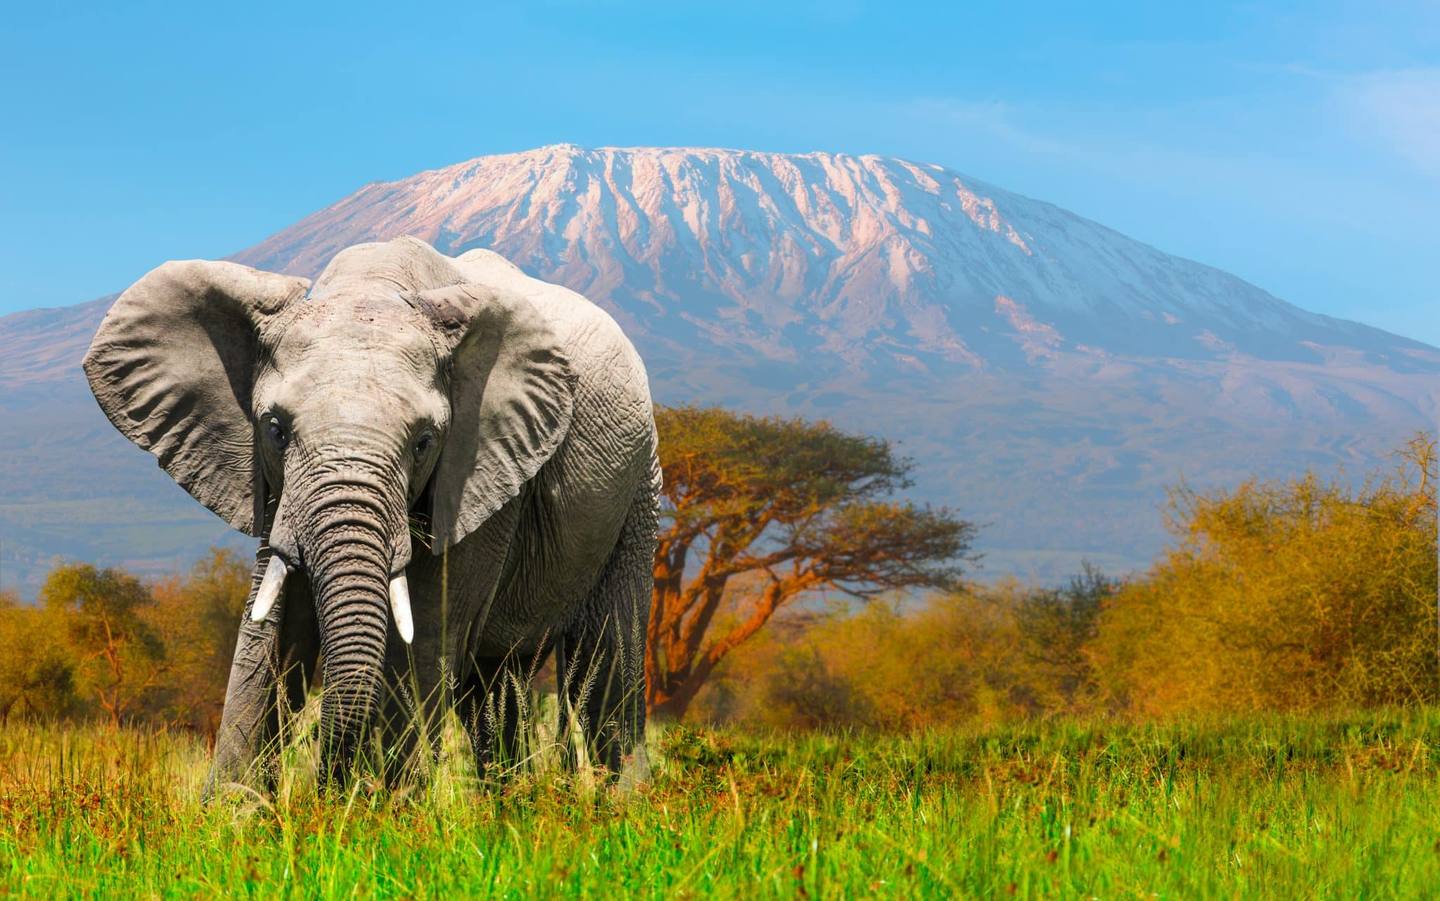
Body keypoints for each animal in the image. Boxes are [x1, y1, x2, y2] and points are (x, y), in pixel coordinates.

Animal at [82, 236, 660, 792]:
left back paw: (623, 802)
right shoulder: (273, 489)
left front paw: (385, 809)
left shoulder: (481, 471)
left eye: (424, 442)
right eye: (275, 429)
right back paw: (510, 802)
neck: (375, 285)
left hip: (638, 484)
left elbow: (424, 632)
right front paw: (236, 810)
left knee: (605, 662)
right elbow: (271, 628)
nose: (326, 785)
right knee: (496, 687)